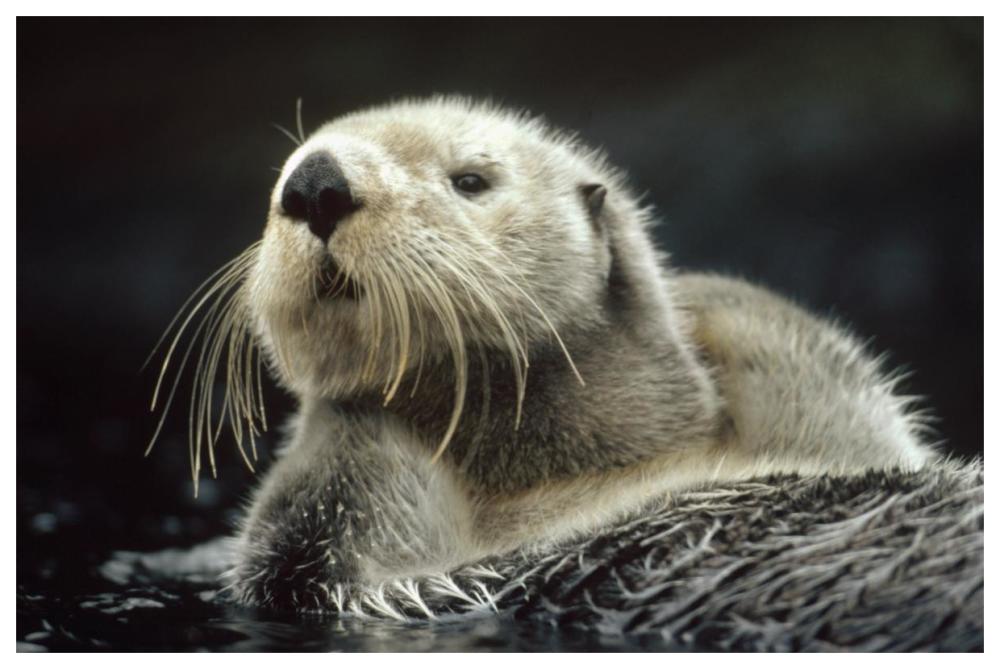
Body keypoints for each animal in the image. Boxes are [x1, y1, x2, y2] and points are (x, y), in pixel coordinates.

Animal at [148, 97, 934, 612]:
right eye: (283, 174)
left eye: (470, 179)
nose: (313, 182)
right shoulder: (345, 563)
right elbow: (312, 517)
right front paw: (345, 416)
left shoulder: (846, 427)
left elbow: (839, 385)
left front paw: (704, 298)